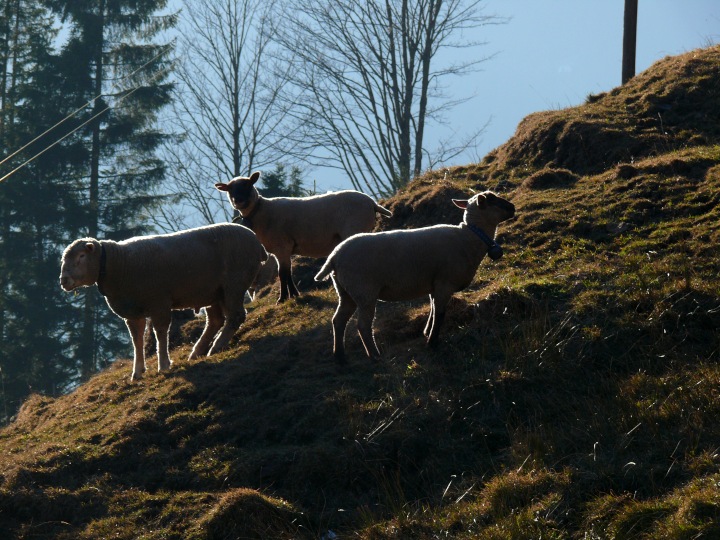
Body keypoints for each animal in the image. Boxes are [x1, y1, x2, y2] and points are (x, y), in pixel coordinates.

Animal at [59, 223, 268, 380]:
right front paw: (137, 372)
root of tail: (257, 242)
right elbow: (137, 340)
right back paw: (198, 351)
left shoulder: (158, 302)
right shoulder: (133, 313)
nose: (63, 280)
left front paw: (164, 365)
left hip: (234, 283)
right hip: (213, 292)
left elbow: (160, 333)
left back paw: (216, 347)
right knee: (216, 321)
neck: (118, 264)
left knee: (235, 316)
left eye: (81, 256)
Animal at [215, 170, 394, 302]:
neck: (261, 210)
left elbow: (283, 273)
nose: (238, 201)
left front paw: (283, 298)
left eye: (248, 185)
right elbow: (287, 272)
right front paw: (293, 294)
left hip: (354, 229)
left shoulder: (282, 246)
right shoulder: (283, 250)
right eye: (230, 189)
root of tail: (372, 203)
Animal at [316, 190, 516, 362]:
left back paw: (340, 357)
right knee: (363, 326)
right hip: (364, 291)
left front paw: (427, 333)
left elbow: (433, 310)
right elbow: (440, 313)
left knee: (338, 321)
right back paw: (374, 356)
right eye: (492, 200)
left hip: (346, 292)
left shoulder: (435, 284)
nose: (513, 207)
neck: (470, 237)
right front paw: (432, 342)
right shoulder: (444, 283)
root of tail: (335, 256)